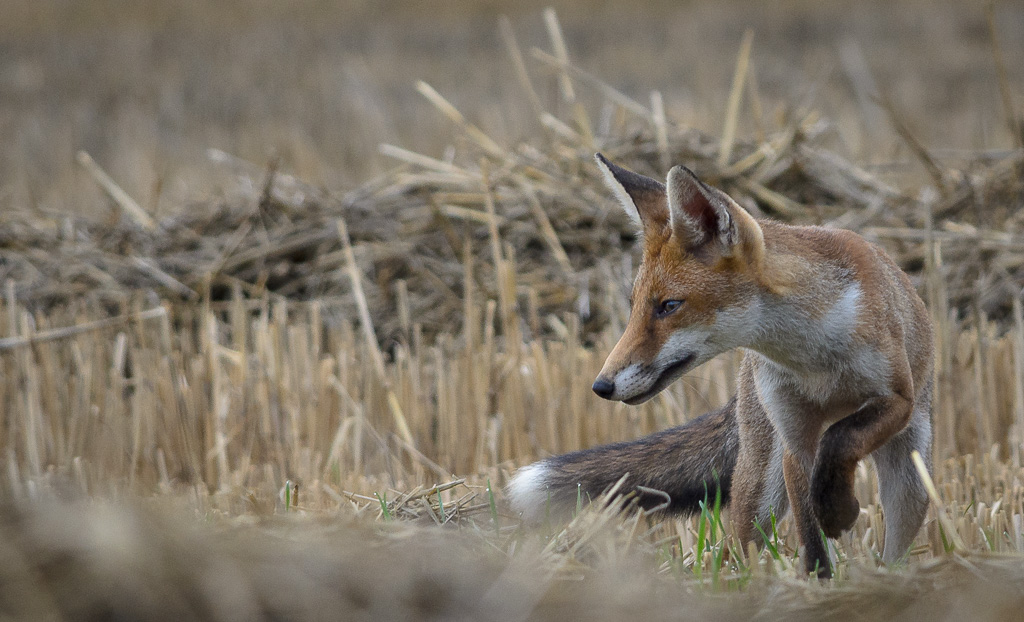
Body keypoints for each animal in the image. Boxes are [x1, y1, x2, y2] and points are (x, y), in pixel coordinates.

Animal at [507, 154, 933, 577]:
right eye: (635, 306)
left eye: (669, 306)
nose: (601, 386)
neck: (813, 360)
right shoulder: (795, 437)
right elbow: (813, 535)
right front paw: (821, 570)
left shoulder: (897, 398)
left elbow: (841, 439)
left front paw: (838, 511)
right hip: (758, 492)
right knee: (738, 545)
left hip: (912, 482)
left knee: (896, 535)